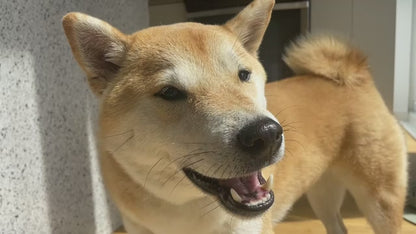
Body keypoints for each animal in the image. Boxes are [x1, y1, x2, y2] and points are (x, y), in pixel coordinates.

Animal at [61, 0, 406, 233]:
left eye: (243, 75)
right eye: (170, 92)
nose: (266, 135)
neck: (185, 211)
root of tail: (355, 74)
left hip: (379, 200)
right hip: (323, 192)